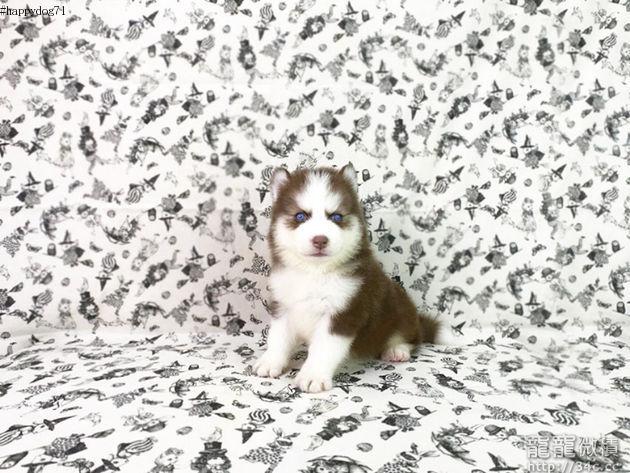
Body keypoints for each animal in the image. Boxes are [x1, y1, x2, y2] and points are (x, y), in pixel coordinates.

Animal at [253, 163, 440, 392]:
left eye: (336, 217)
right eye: (300, 216)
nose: (320, 240)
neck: (314, 273)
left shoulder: (344, 312)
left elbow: (323, 348)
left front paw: (312, 375)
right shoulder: (283, 305)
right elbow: (278, 338)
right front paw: (270, 361)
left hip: (401, 310)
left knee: (411, 337)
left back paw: (397, 350)